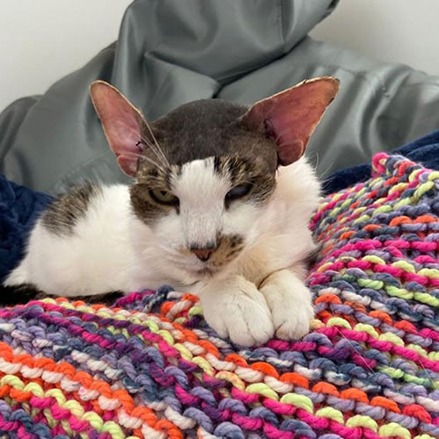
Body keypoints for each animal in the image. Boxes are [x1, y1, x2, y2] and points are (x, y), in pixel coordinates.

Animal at [1, 78, 340, 348]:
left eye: (239, 191)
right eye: (163, 195)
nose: (202, 249)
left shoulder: (296, 241)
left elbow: (285, 269)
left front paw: (288, 300)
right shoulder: (143, 276)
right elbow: (191, 283)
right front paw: (237, 302)